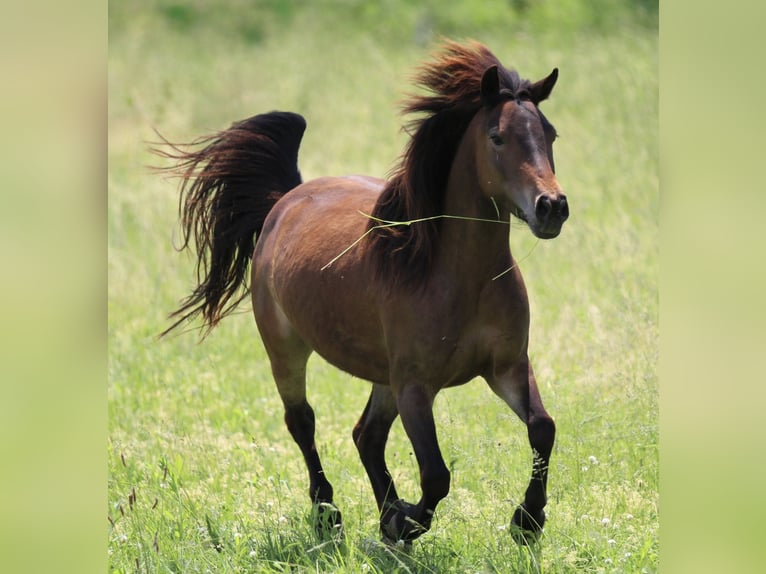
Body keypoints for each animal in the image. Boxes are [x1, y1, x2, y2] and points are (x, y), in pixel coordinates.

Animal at [157, 40, 568, 545]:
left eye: (550, 134)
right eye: (497, 137)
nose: (552, 207)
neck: (457, 277)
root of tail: (283, 202)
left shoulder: (506, 367)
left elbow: (542, 428)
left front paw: (527, 519)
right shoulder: (415, 387)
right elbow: (436, 475)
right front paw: (408, 520)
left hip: (382, 375)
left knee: (365, 435)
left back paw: (385, 511)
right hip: (287, 350)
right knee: (303, 421)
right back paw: (328, 511)